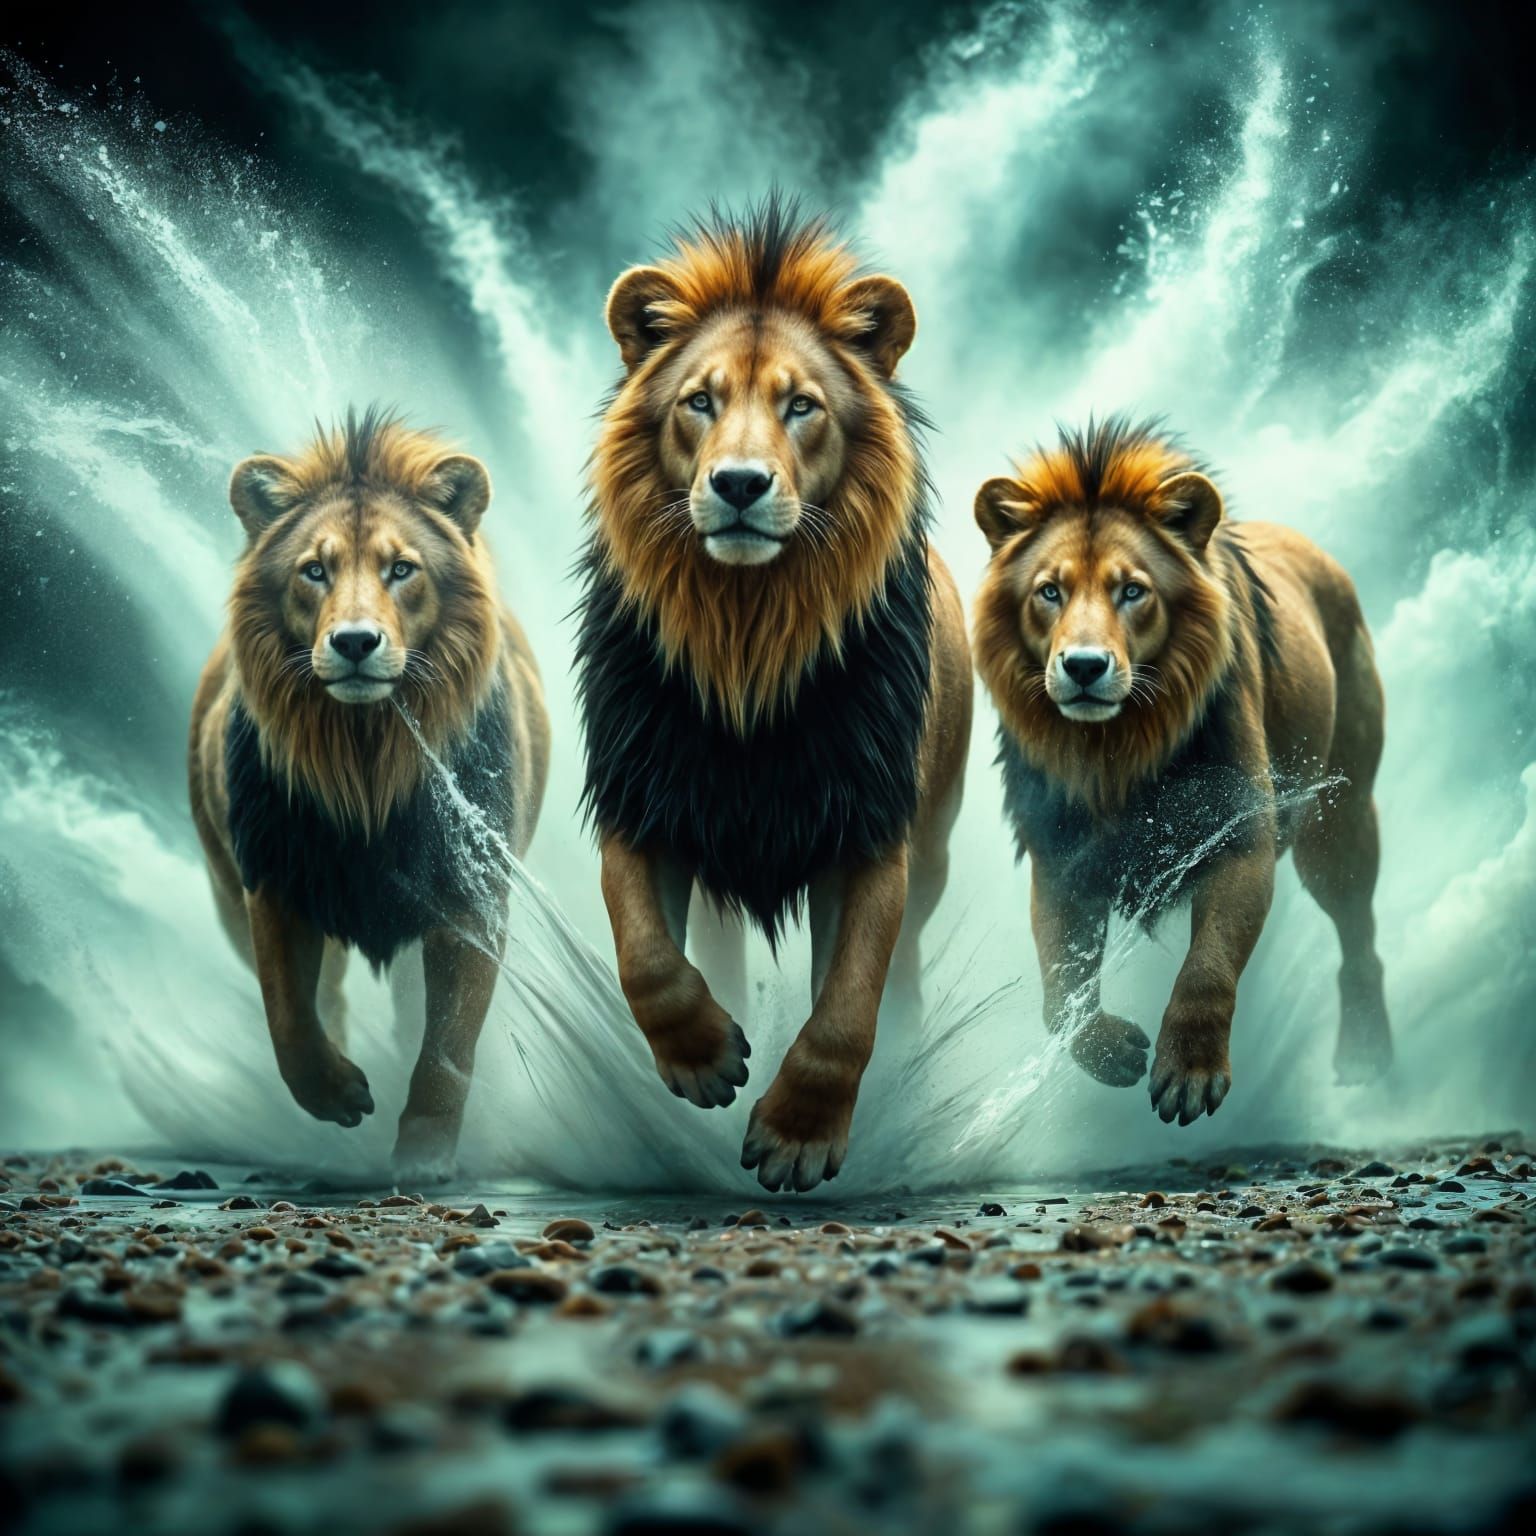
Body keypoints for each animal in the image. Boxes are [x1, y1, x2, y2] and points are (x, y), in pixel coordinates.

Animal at [188, 407, 549, 1176]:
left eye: (401, 568)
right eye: (314, 570)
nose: (355, 642)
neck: (366, 758)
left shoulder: (472, 897)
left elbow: (449, 1045)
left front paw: (423, 1156)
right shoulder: (275, 880)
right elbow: (288, 1014)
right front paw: (337, 1094)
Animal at [577, 198, 972, 1193]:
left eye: (801, 406)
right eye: (700, 402)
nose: (740, 484)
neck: (748, 633)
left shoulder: (871, 830)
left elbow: (847, 1007)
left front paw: (797, 1136)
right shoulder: (641, 796)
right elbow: (645, 955)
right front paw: (706, 1060)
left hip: (935, 846)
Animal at [972, 416, 1390, 1123]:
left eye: (1132, 591)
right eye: (1049, 592)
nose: (1084, 666)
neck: (1114, 751)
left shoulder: (1238, 832)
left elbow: (1208, 966)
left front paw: (1189, 1071)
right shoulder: (1059, 859)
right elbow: (1060, 991)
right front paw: (1111, 1050)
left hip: (1340, 820)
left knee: (1360, 937)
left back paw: (1366, 1056)